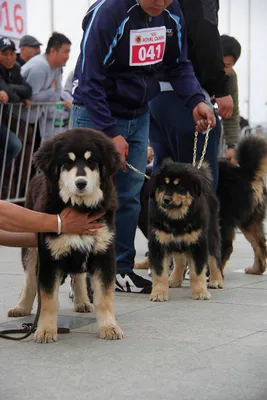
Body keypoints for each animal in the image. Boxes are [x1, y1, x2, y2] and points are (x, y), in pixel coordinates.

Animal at [7, 129, 124, 344]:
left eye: (92, 161)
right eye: (68, 162)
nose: (81, 183)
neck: (80, 207)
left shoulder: (103, 253)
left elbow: (104, 298)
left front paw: (109, 327)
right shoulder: (49, 257)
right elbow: (49, 299)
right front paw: (45, 330)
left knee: (78, 275)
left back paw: (83, 301)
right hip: (31, 248)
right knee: (29, 279)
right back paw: (21, 307)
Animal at [149, 158, 224, 302]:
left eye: (180, 187)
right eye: (163, 185)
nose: (166, 200)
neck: (176, 219)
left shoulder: (198, 243)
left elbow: (198, 271)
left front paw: (200, 292)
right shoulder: (159, 243)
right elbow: (160, 272)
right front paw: (159, 293)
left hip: (211, 234)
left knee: (214, 258)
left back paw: (217, 280)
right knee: (180, 260)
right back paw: (174, 279)